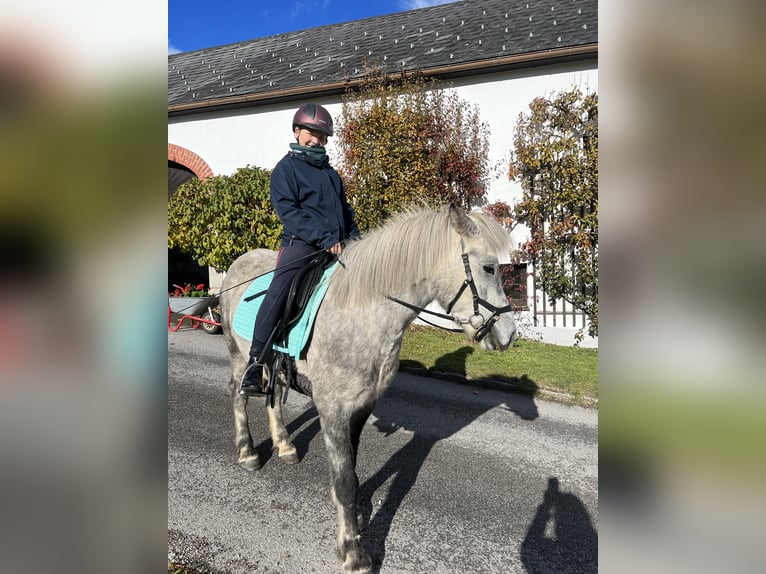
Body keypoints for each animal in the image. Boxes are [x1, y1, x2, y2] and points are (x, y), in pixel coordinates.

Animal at [219, 206, 520, 574]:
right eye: (490, 267)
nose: (509, 335)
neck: (363, 313)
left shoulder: (362, 405)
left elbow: (352, 466)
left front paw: (359, 516)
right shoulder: (332, 408)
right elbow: (344, 479)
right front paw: (353, 552)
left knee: (273, 399)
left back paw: (285, 445)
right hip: (239, 356)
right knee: (239, 394)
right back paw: (247, 452)